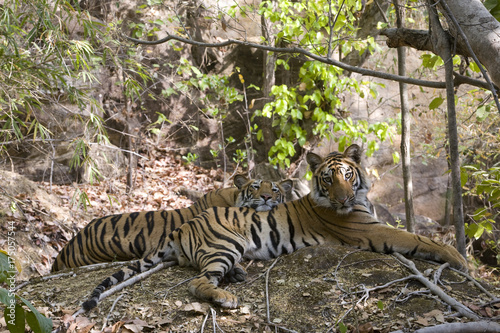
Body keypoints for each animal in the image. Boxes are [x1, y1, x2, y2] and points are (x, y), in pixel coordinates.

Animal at [80, 144, 466, 310]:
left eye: (347, 174)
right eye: (328, 178)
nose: (342, 198)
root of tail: (184, 225)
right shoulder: (371, 230)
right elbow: (416, 237)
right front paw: (459, 258)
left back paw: (236, 275)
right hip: (226, 243)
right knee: (197, 283)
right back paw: (226, 296)